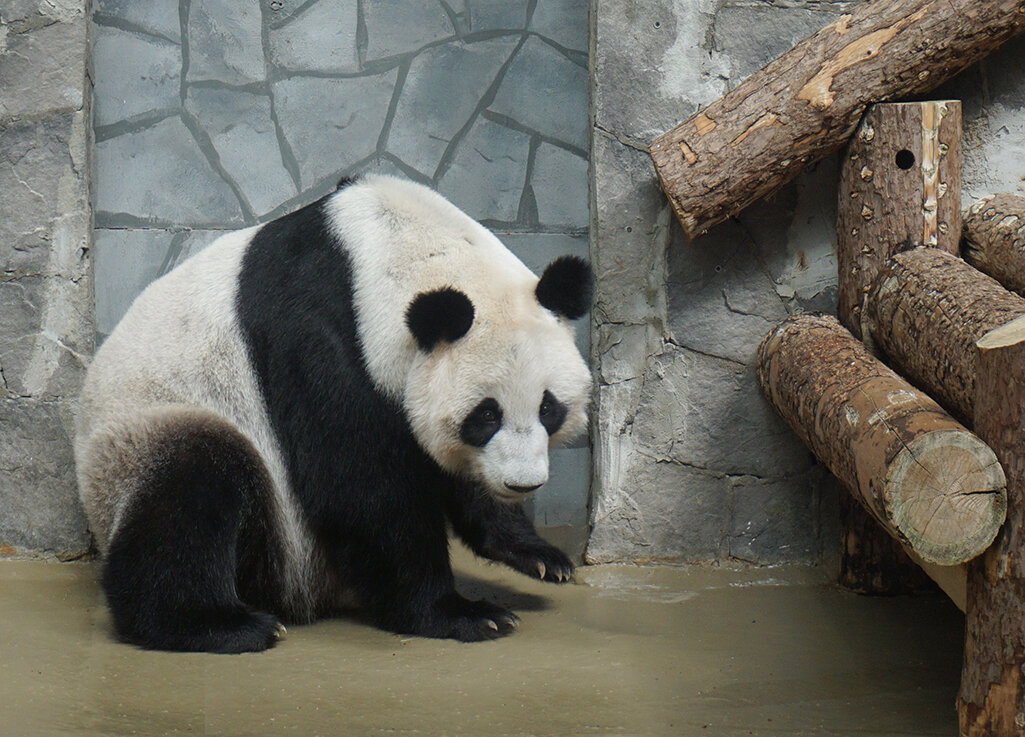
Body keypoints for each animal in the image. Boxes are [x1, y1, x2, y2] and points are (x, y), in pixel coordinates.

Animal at [75, 176, 594, 656]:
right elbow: (360, 488)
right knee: (192, 486)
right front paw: (458, 613)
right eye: (485, 416)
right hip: (155, 433)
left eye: (549, 408)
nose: (523, 484)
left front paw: (541, 556)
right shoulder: (319, 340)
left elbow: (444, 469)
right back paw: (218, 624)